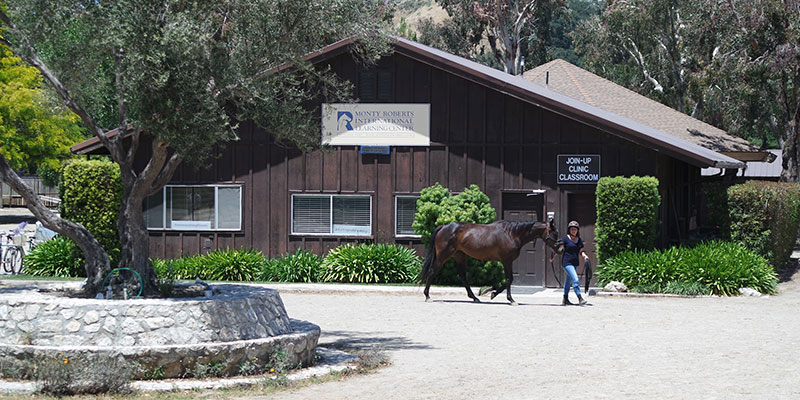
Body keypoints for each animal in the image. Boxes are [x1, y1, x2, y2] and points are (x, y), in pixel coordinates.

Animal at [418, 220, 564, 304]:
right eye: (554, 233)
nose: (561, 249)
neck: (512, 234)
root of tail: (444, 227)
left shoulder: (508, 261)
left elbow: (508, 280)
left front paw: (494, 294)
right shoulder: (506, 261)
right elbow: (509, 279)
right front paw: (509, 299)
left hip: (459, 256)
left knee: (463, 277)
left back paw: (474, 298)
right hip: (443, 256)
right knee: (432, 272)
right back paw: (427, 296)